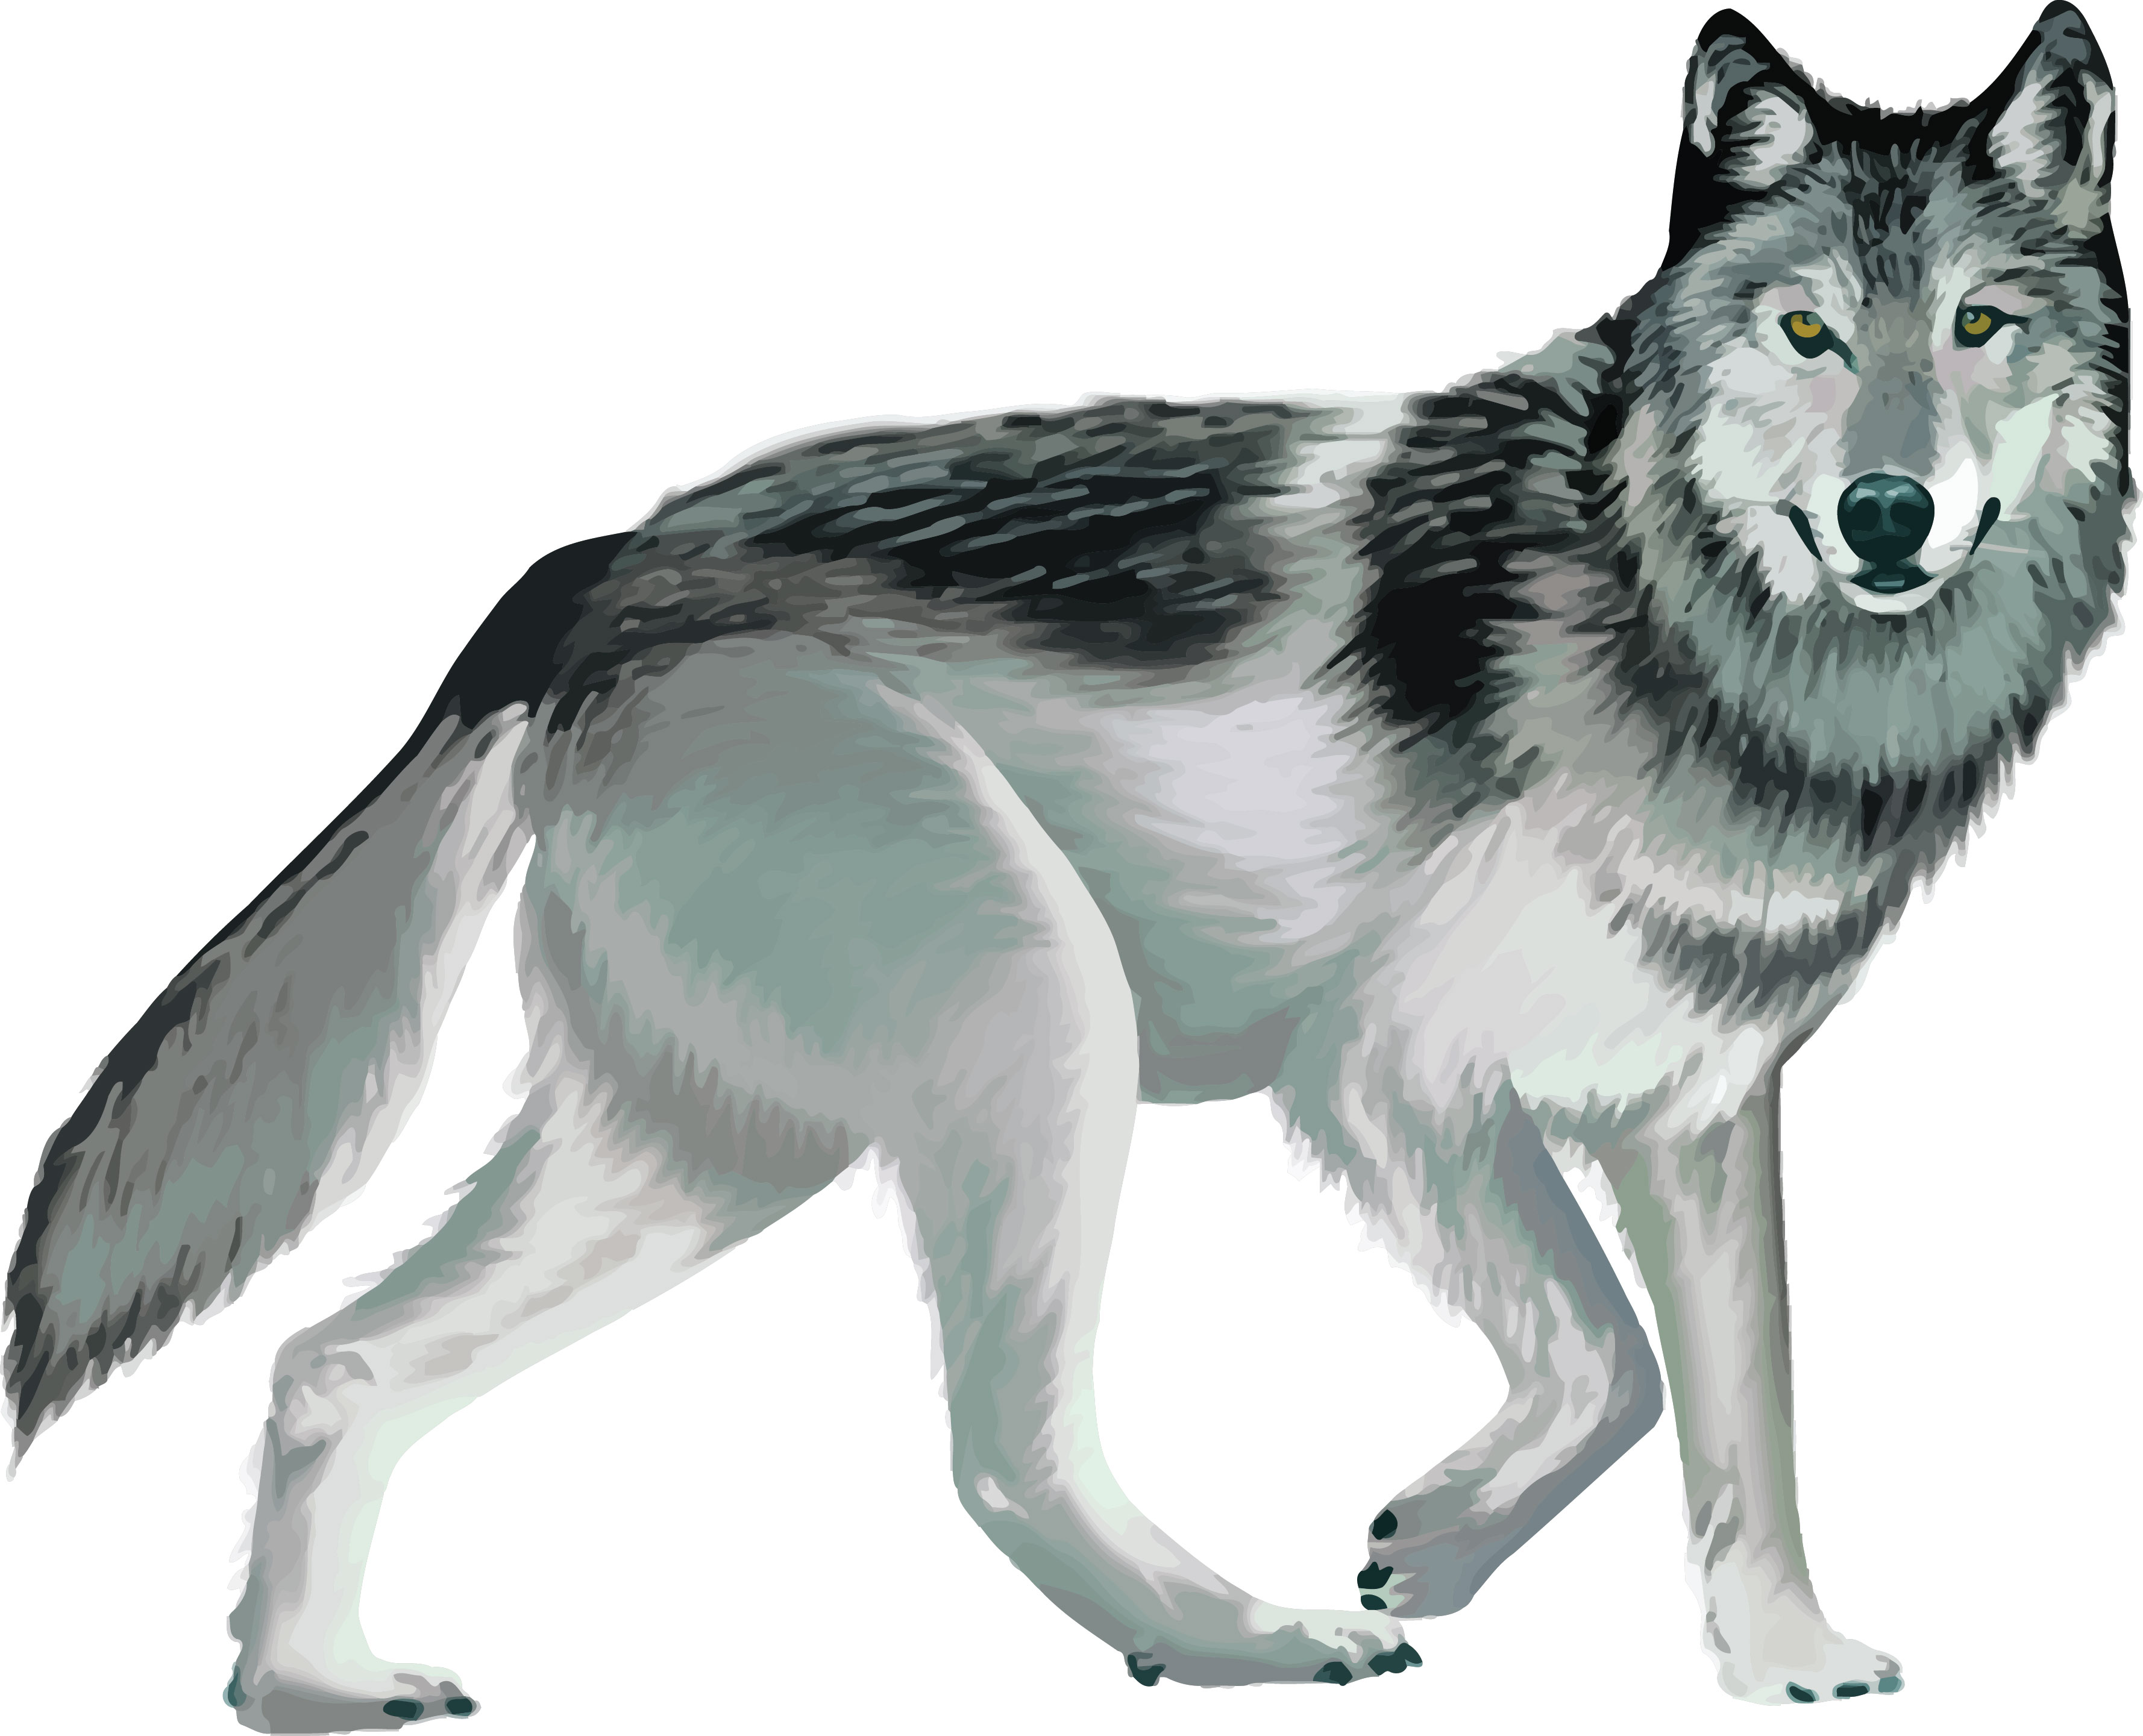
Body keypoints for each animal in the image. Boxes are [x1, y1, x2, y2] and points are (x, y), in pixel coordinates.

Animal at [4, 4, 2125, 1725]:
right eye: (1806, 332)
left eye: (1977, 327)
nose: (1888, 512)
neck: (1690, 615)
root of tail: (596, 569)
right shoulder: (1390, 1077)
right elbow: (1612, 1372)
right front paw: (1429, 1545)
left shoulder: (1699, 1117)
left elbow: (1746, 1412)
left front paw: (1785, 1659)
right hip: (1038, 1029)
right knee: (993, 1450)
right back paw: (1246, 1638)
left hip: (706, 1161)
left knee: (325, 1364)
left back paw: (304, 1688)